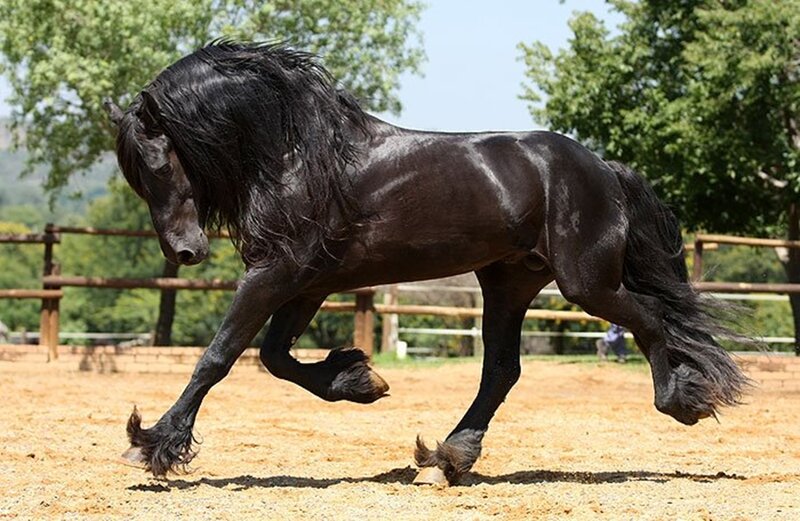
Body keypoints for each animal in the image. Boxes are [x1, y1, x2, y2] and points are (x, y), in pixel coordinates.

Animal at [104, 41, 749, 485]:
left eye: (158, 164)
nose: (185, 252)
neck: (298, 156)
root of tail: (602, 168)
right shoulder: (308, 281)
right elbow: (274, 358)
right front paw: (361, 380)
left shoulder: (277, 273)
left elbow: (221, 356)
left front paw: (154, 444)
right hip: (510, 282)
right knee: (503, 370)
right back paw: (447, 458)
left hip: (584, 282)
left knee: (650, 321)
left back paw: (683, 401)